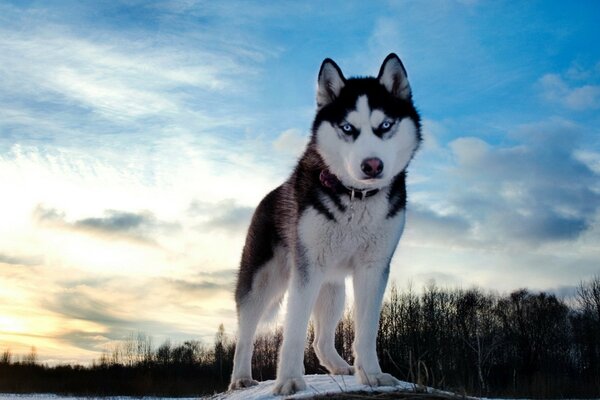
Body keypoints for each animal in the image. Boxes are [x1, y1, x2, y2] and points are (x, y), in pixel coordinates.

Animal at [230, 53, 422, 394]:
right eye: (347, 127)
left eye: (385, 125)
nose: (372, 165)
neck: (356, 197)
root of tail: (268, 196)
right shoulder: (307, 270)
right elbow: (293, 331)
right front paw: (290, 380)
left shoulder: (373, 268)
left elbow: (367, 330)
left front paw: (371, 375)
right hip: (263, 281)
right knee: (246, 333)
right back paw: (240, 377)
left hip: (332, 289)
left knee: (320, 340)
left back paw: (339, 366)